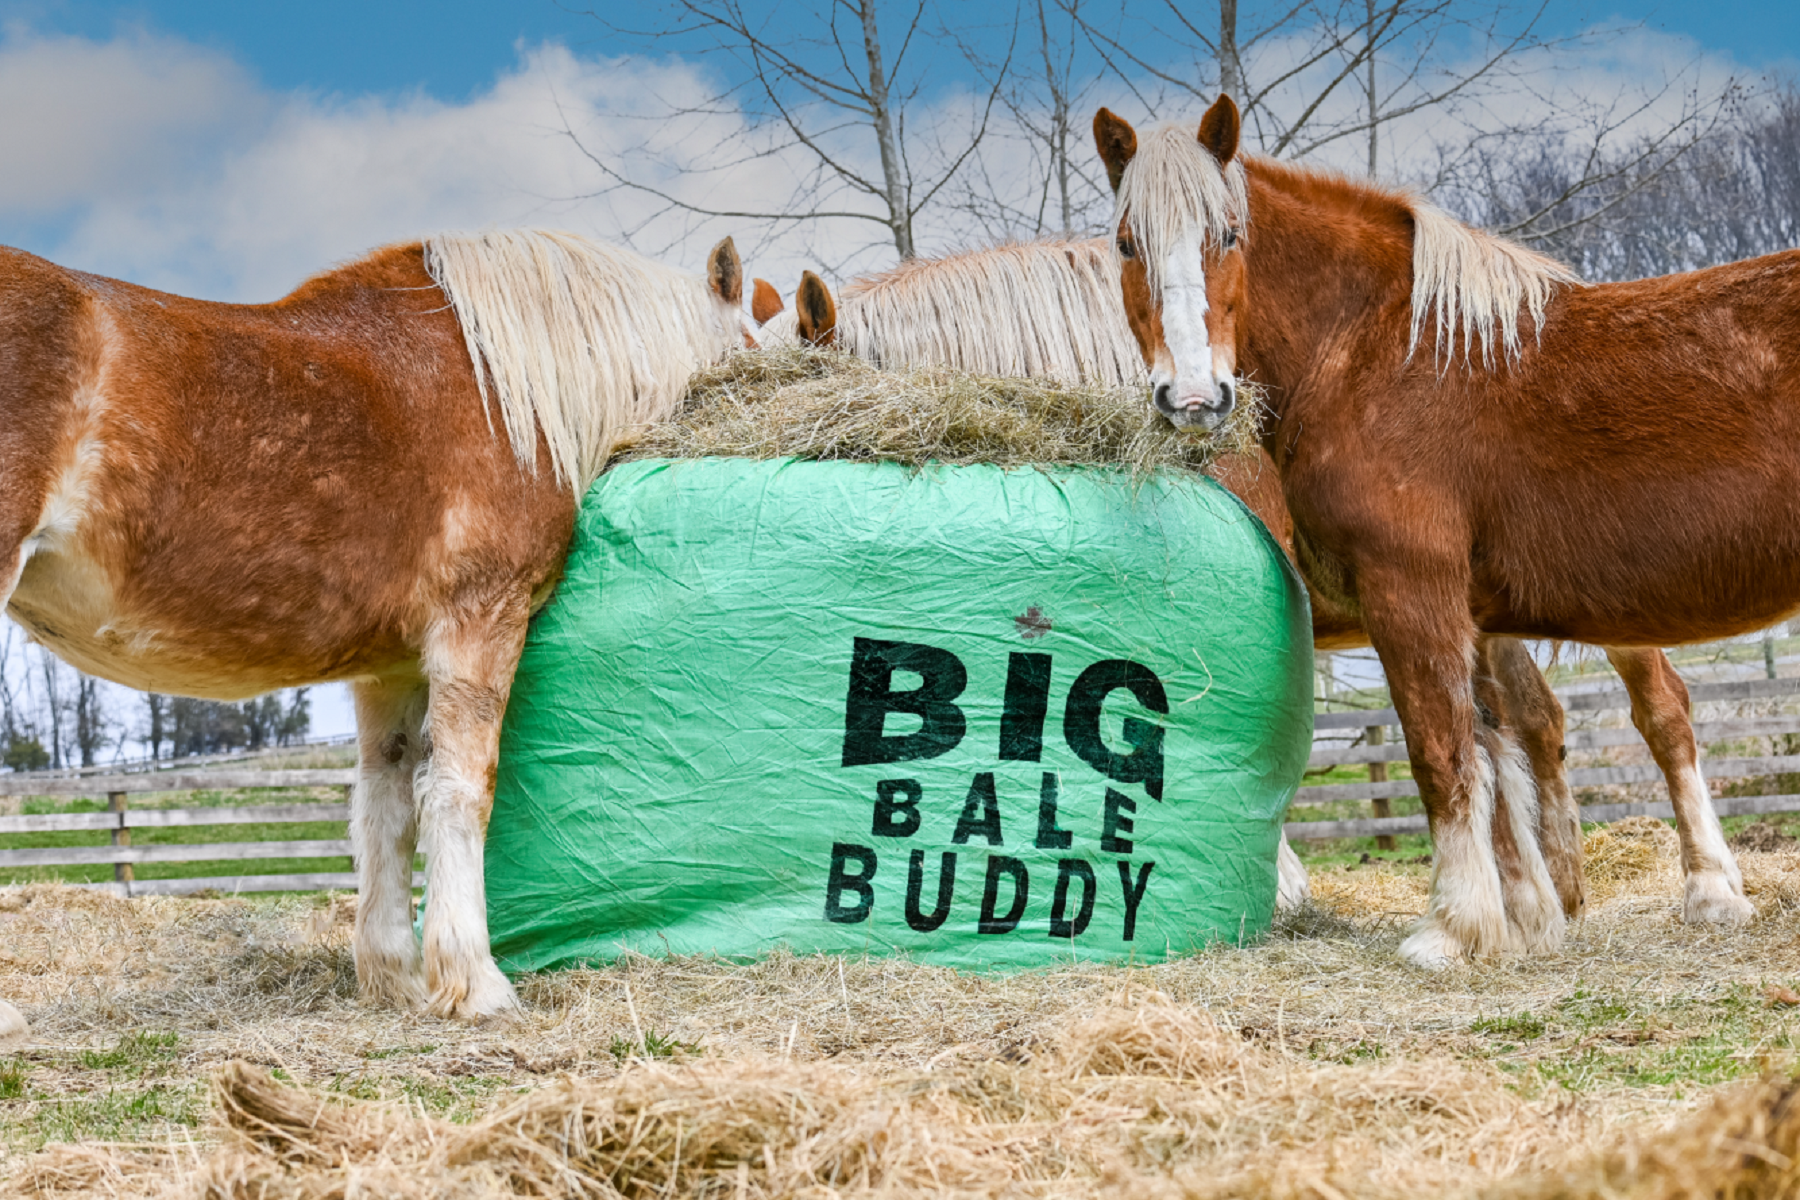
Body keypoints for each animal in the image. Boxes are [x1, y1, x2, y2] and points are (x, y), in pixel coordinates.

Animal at [1, 227, 752, 1014]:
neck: (498, 387)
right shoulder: (480, 622)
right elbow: (460, 792)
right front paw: (476, 983)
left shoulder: (387, 668)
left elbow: (385, 806)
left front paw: (395, 978)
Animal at [1087, 100, 1778, 964]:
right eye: (1126, 243)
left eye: (1230, 235)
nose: (1193, 399)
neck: (1380, 350)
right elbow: (1478, 748)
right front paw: (1515, 917)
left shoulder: (1408, 587)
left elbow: (1438, 750)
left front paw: (1450, 926)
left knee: (1661, 716)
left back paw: (1709, 892)